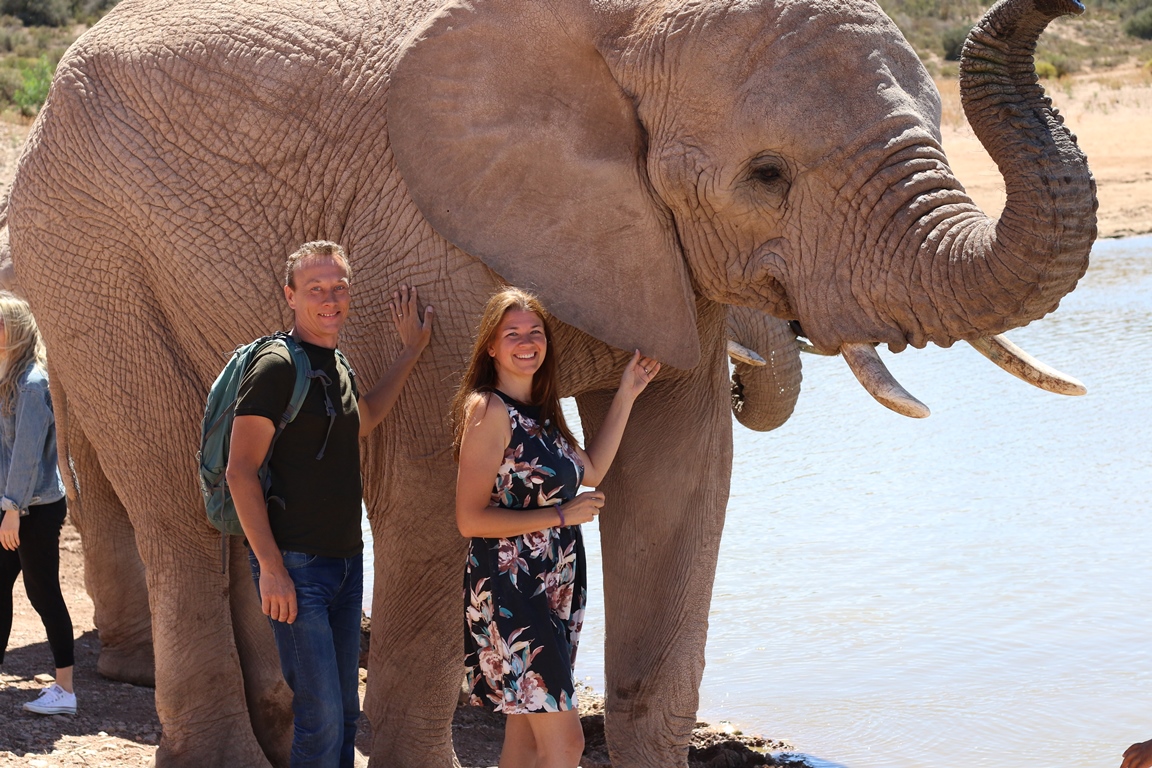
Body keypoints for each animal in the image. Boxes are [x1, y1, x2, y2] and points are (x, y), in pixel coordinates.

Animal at [4, 0, 1095, 764]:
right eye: (766, 175)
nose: (1059, 5)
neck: (624, 30)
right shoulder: (423, 237)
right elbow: (427, 487)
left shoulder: (661, 256)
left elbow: (677, 482)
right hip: (81, 247)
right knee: (171, 495)